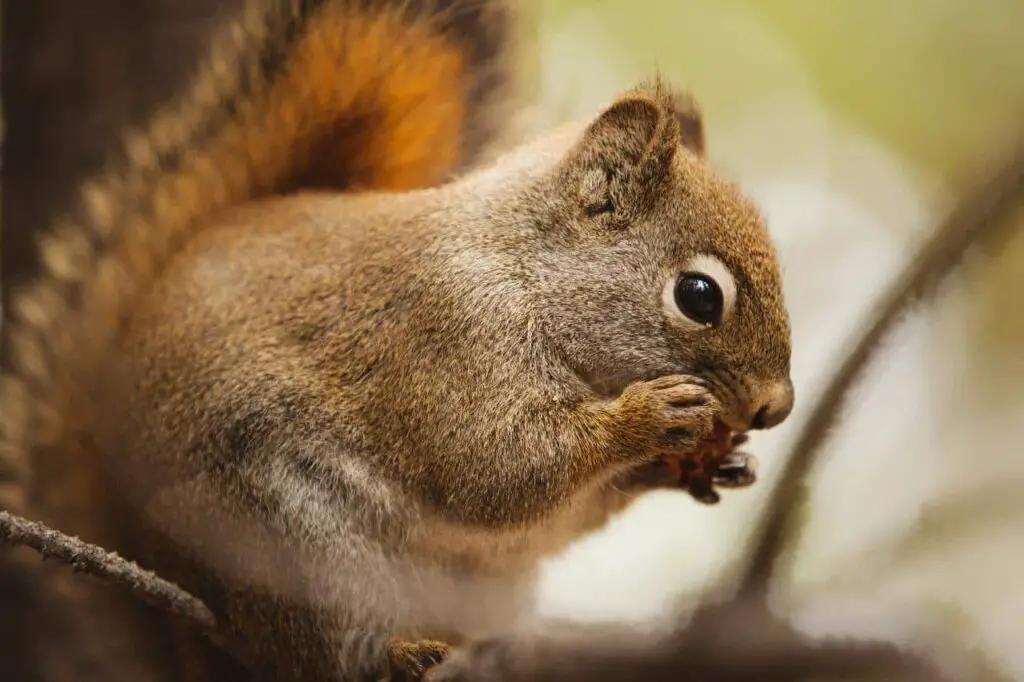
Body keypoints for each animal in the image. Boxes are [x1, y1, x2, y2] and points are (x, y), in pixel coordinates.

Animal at [0, 1, 794, 679]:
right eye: (699, 296)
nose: (776, 408)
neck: (523, 272)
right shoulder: (446, 340)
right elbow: (497, 471)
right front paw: (649, 418)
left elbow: (555, 517)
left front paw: (698, 468)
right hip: (291, 546)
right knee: (321, 653)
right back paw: (400, 656)